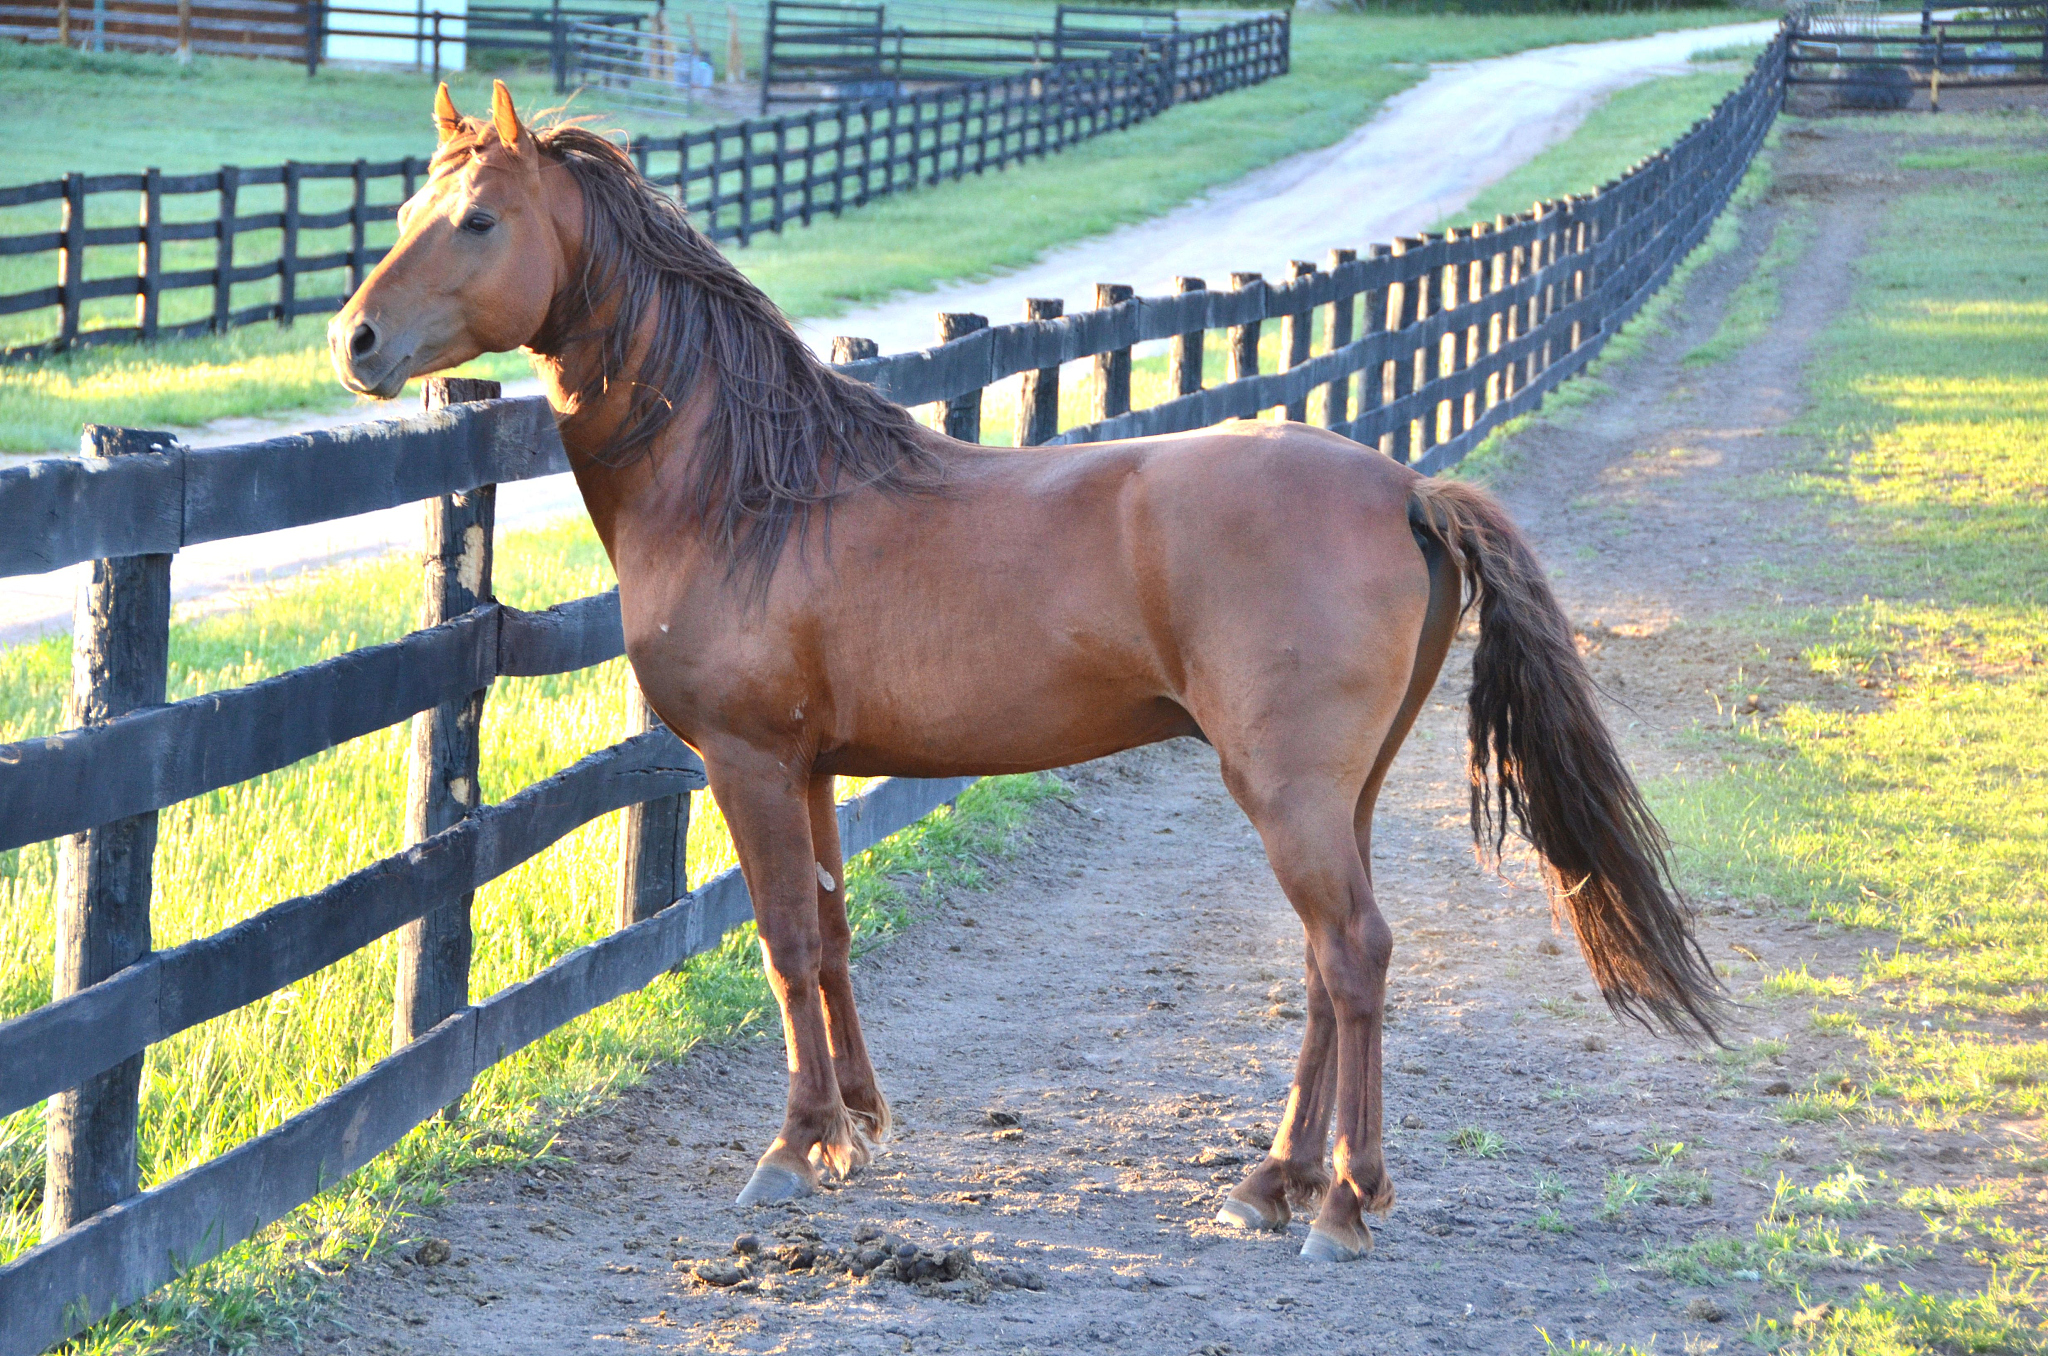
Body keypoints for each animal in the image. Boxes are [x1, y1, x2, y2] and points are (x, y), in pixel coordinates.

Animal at [328, 81, 1722, 1263]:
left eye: (478, 219)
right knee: (1329, 967)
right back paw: (1270, 1184)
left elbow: (781, 941)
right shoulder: (814, 770)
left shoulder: (749, 764)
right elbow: (832, 937)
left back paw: (1340, 1203)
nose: (356, 341)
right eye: (401, 216)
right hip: (1342, 793)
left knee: (1355, 955)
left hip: (1287, 792)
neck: (753, 493)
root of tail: (1403, 487)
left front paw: (792, 1146)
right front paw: (859, 1130)